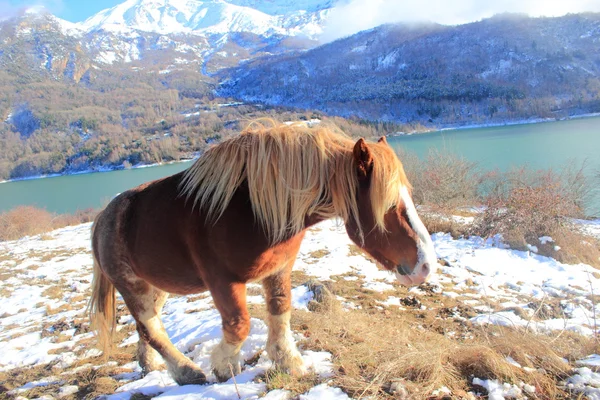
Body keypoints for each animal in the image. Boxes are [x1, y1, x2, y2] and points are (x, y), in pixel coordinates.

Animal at [88, 122, 436, 384]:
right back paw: (187, 372)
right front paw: (224, 366)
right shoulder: (222, 281)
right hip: (133, 287)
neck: (251, 210)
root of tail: (102, 218)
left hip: (157, 286)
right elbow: (239, 324)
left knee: (146, 329)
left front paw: (289, 362)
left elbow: (280, 310)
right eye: (388, 205)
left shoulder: (279, 269)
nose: (426, 265)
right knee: (151, 328)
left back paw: (153, 366)